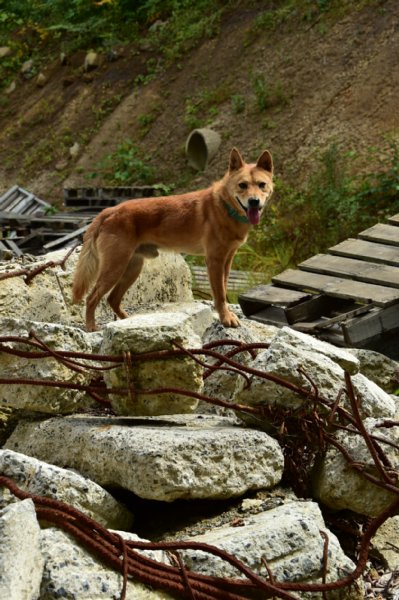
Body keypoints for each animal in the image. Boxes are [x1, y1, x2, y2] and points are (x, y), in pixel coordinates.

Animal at [72, 147, 272, 330]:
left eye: (262, 184)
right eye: (242, 185)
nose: (254, 202)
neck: (224, 206)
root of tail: (109, 211)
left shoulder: (227, 260)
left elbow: (223, 288)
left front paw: (226, 315)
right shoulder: (214, 260)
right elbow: (220, 295)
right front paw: (225, 318)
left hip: (132, 267)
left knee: (112, 299)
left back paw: (127, 321)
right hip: (115, 267)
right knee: (92, 298)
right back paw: (91, 327)